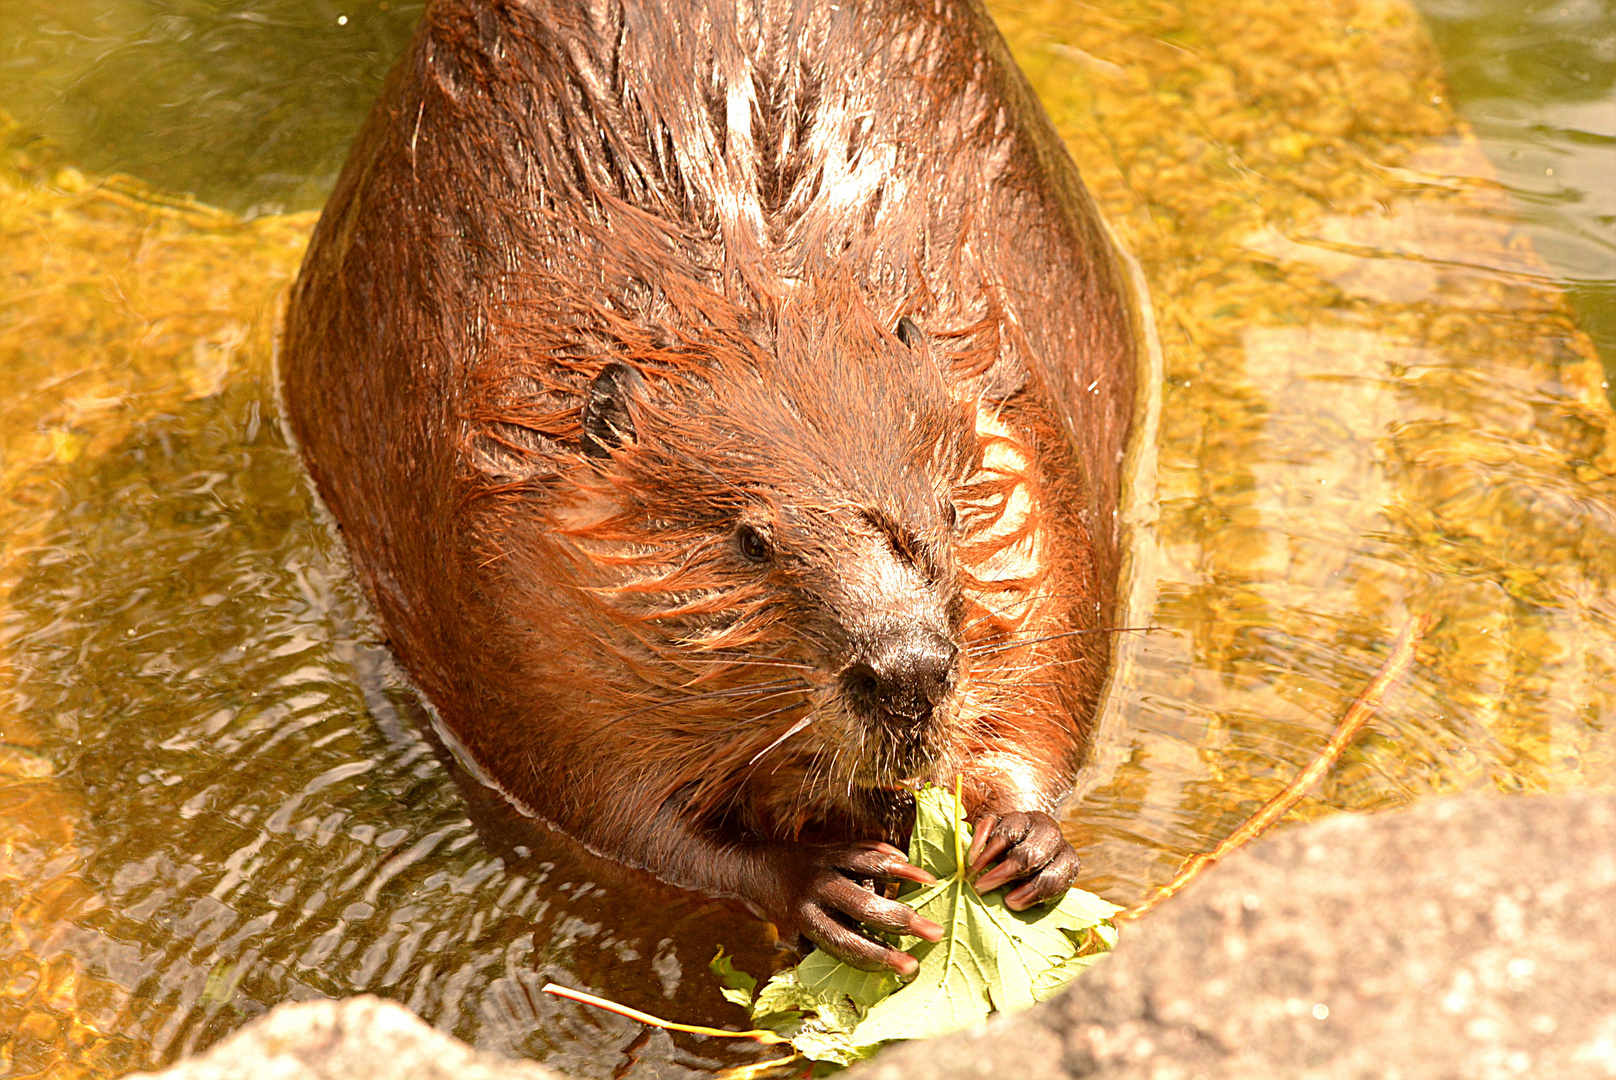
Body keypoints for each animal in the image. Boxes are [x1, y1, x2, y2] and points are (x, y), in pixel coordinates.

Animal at [281, 0, 1137, 976]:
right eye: (750, 540)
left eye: (953, 513)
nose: (907, 674)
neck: (752, 297)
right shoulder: (503, 593)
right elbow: (608, 803)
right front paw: (826, 884)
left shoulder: (1031, 448)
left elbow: (1053, 667)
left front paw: (1025, 842)